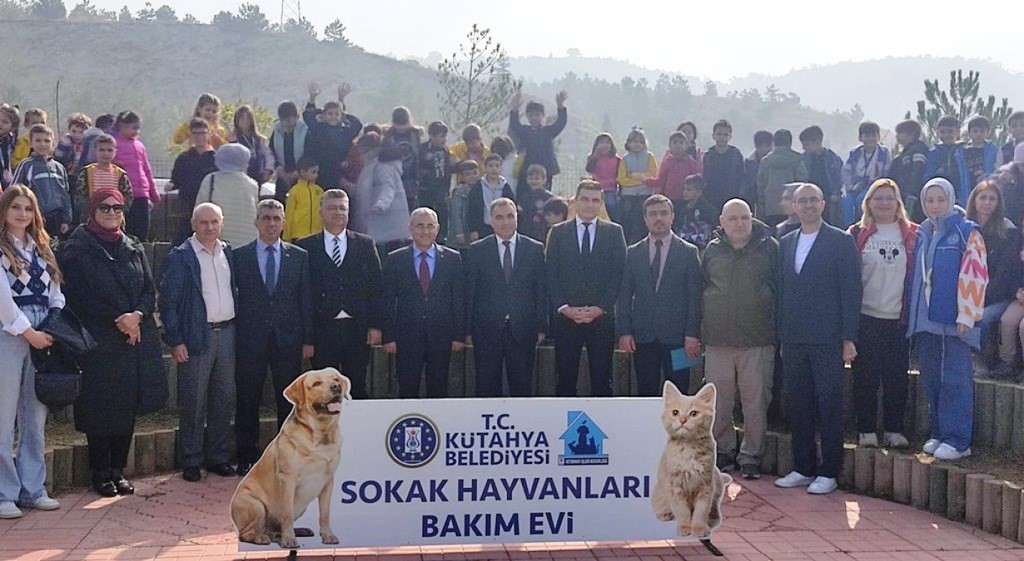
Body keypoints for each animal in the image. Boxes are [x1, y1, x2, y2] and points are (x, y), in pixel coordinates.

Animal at [230, 368, 350, 548]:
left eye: (335, 379)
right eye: (316, 383)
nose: (336, 387)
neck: (321, 435)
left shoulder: (328, 480)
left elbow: (324, 514)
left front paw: (328, 535)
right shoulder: (288, 479)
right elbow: (286, 513)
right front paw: (289, 540)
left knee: (275, 528)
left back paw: (294, 531)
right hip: (256, 505)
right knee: (246, 533)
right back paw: (263, 537)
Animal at [651, 380, 733, 540]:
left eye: (693, 413)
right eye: (675, 412)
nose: (682, 420)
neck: (688, 448)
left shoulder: (706, 486)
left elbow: (701, 511)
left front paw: (699, 528)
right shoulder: (675, 487)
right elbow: (682, 511)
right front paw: (684, 527)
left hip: (717, 484)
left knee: (715, 507)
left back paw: (713, 518)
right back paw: (665, 514)